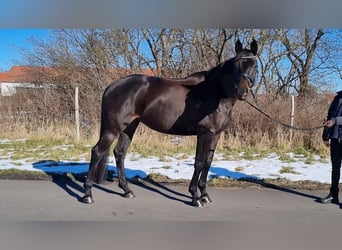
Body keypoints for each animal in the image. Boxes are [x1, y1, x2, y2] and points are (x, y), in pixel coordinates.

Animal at [83, 39, 258, 207]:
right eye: (236, 64)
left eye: (254, 65)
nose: (242, 92)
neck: (215, 93)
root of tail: (111, 87)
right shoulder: (204, 133)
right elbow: (199, 162)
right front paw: (195, 197)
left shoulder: (215, 135)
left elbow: (208, 163)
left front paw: (205, 194)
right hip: (112, 129)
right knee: (97, 152)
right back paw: (87, 195)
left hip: (129, 127)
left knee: (119, 153)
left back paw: (127, 190)